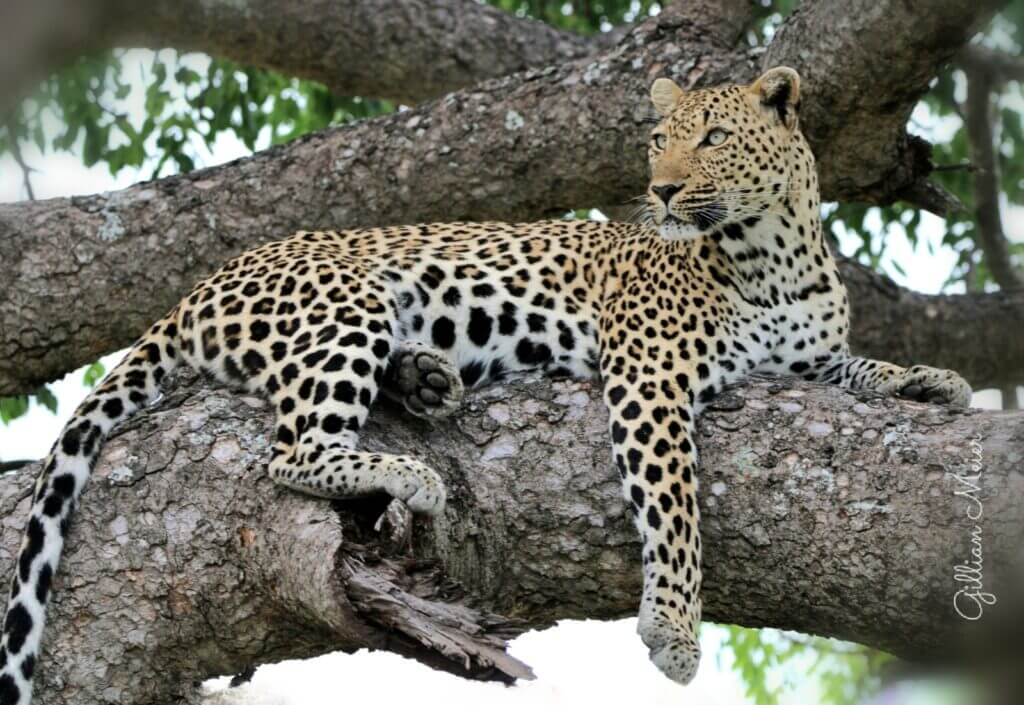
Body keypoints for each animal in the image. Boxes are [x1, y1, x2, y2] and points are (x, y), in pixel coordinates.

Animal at [0, 67, 972, 704]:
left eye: (715, 138)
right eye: (660, 140)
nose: (660, 190)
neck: (775, 256)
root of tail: (196, 287)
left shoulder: (806, 361)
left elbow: (862, 367)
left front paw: (931, 380)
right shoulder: (650, 374)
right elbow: (676, 506)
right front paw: (673, 626)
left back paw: (427, 378)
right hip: (346, 299)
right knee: (290, 449)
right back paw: (408, 470)